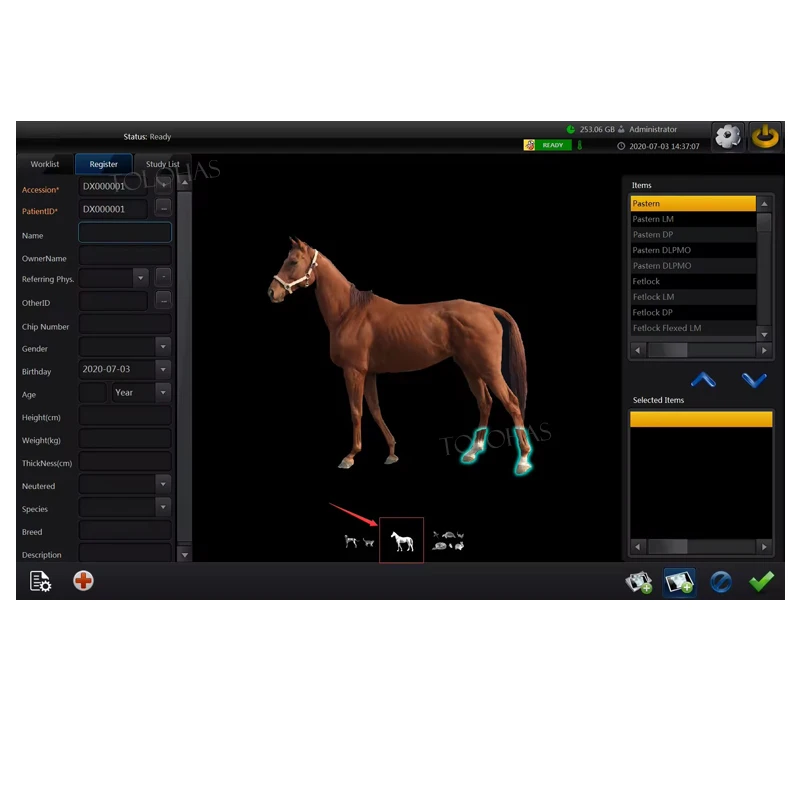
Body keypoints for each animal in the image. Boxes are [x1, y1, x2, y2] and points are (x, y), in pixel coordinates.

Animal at [268, 237, 532, 476]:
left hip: (489, 369)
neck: (349, 313)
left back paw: (523, 460)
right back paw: (473, 452)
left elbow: (356, 411)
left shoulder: (353, 371)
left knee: (511, 402)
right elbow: (375, 409)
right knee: (485, 401)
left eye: (293, 261)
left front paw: (350, 456)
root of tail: (488, 310)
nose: (272, 292)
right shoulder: (369, 373)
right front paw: (392, 453)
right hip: (470, 368)